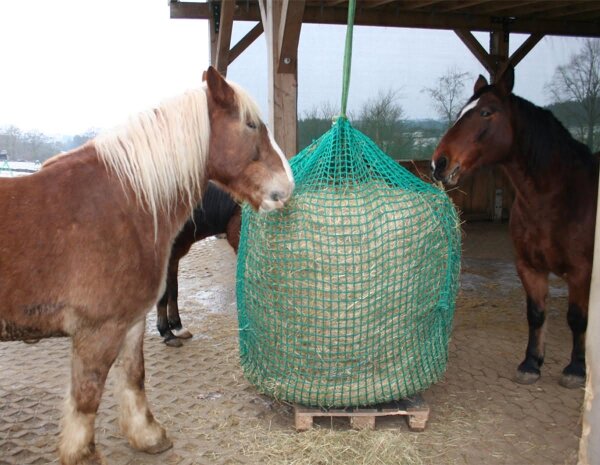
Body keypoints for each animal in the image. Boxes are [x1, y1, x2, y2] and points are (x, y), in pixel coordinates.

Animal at [432, 65, 596, 388]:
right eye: (460, 112)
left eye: (486, 112)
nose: (439, 162)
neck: (556, 197)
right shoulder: (528, 265)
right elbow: (536, 313)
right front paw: (531, 363)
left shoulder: (582, 270)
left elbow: (577, 318)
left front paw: (575, 369)